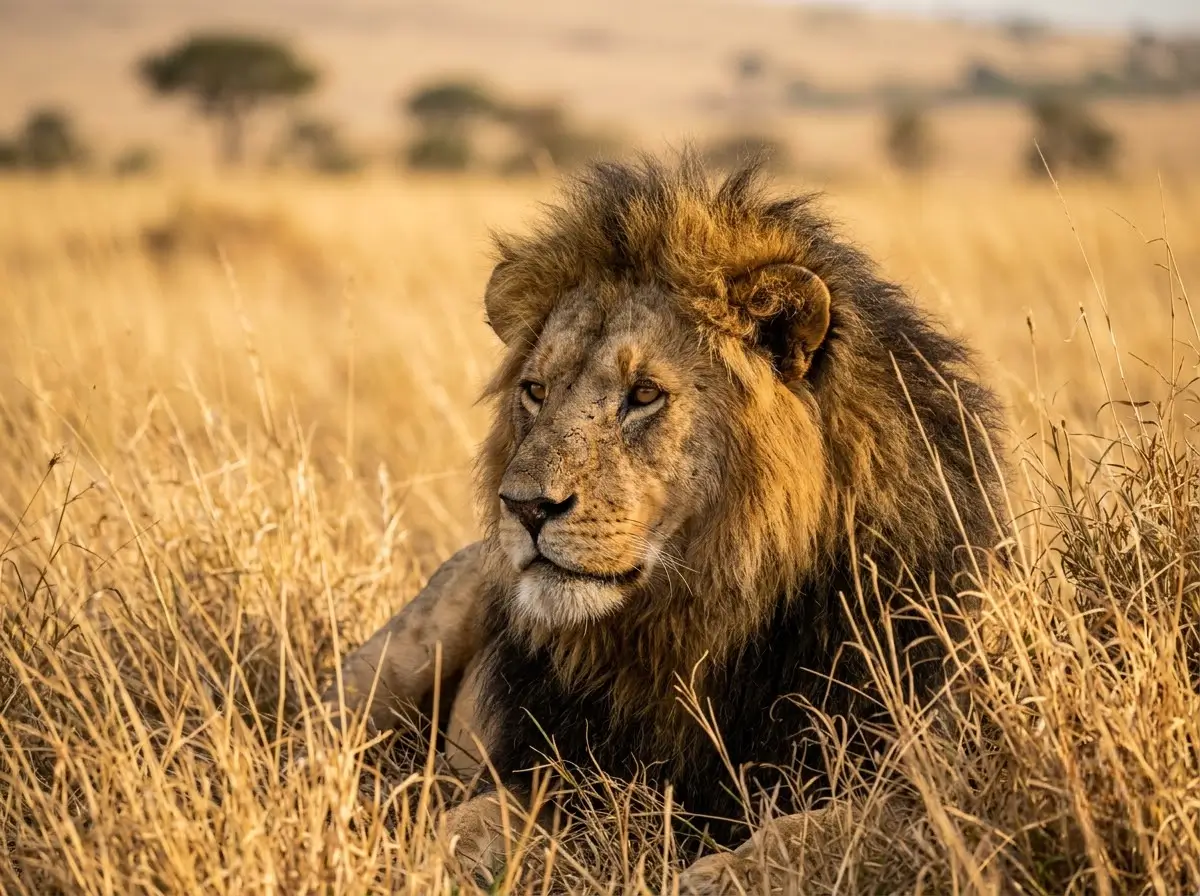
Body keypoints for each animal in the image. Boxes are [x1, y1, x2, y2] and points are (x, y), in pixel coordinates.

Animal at [321, 152, 1006, 891]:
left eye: (644, 394)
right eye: (535, 391)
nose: (525, 507)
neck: (698, 621)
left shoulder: (931, 777)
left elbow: (826, 831)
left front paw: (721, 874)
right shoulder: (566, 769)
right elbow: (472, 819)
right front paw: (415, 850)